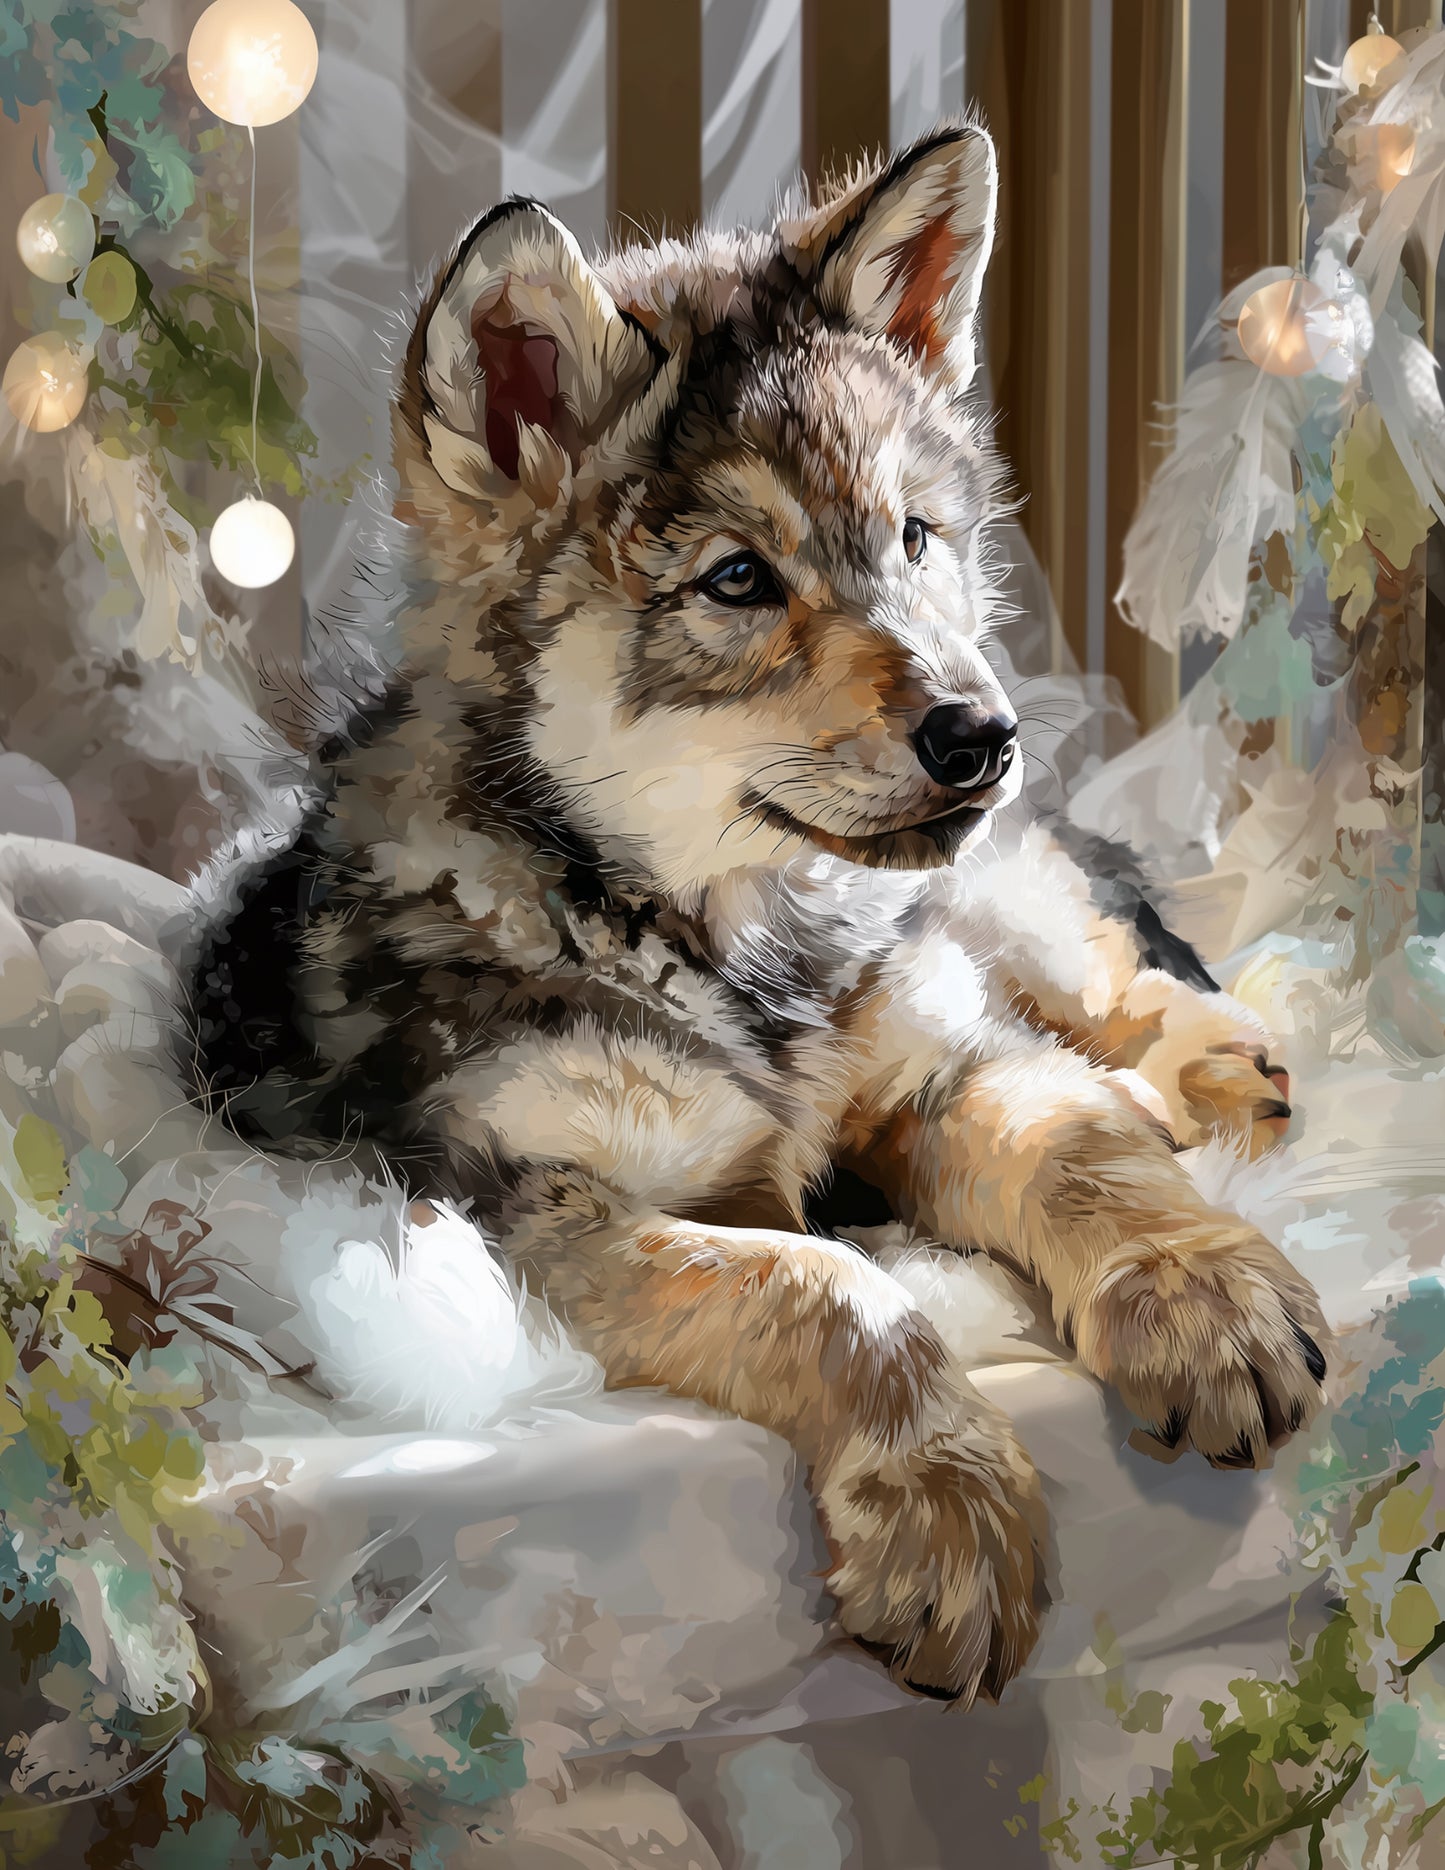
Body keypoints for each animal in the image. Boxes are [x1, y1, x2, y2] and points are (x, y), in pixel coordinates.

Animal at [186, 125, 1326, 1707]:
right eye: (738, 580)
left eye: (915, 538)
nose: (984, 735)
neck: (741, 953)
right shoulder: (539, 1205)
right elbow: (826, 1285)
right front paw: (946, 1497)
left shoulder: (945, 1063)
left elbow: (1080, 1149)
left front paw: (1200, 1287)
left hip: (991, 902)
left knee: (1100, 963)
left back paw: (1210, 1066)